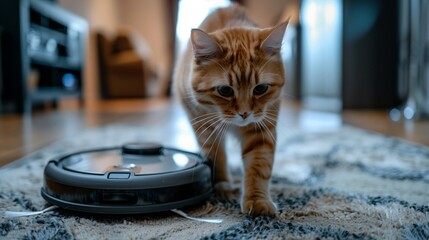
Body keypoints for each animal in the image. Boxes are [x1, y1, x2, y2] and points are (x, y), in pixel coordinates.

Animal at [173, 4, 288, 217]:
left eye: (260, 88)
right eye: (225, 90)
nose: (244, 113)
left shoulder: (261, 128)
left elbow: (258, 167)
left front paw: (257, 200)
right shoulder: (204, 126)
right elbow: (216, 156)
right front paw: (221, 185)